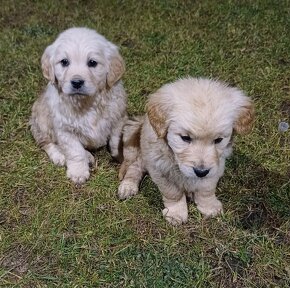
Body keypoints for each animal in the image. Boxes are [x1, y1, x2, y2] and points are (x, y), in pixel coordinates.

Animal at [29, 27, 127, 184]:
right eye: (64, 62)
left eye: (92, 62)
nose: (76, 82)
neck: (86, 103)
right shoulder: (65, 130)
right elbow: (75, 152)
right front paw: (78, 172)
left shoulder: (119, 118)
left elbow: (115, 141)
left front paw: (123, 157)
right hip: (41, 121)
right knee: (46, 143)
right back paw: (61, 156)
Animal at [118, 77, 254, 225]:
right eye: (185, 138)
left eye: (218, 140)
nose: (201, 172)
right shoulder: (159, 168)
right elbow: (173, 193)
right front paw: (176, 213)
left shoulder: (216, 165)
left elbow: (206, 189)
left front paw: (209, 207)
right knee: (134, 166)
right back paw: (128, 186)